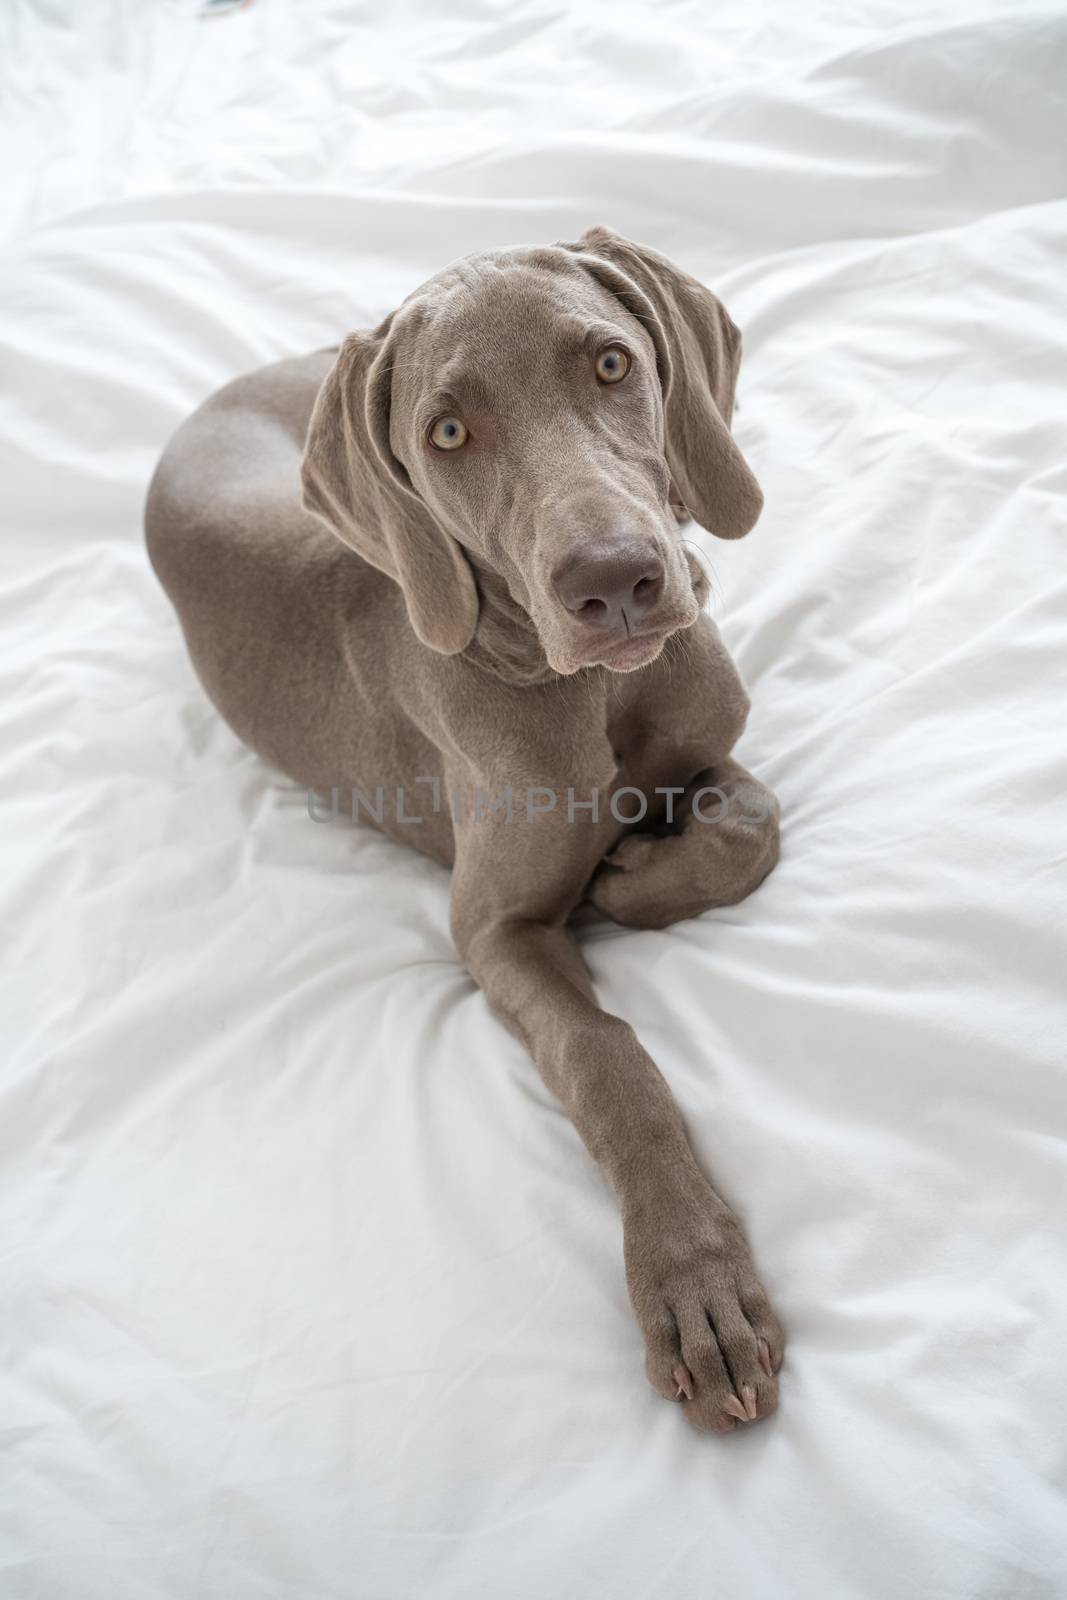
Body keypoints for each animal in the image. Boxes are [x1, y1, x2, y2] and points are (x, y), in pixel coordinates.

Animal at [143, 225, 783, 1440]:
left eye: (611, 364)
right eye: (446, 434)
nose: (616, 583)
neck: (590, 690)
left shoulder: (703, 742)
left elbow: (750, 824)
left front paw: (632, 871)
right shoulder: (492, 930)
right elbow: (605, 1054)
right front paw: (695, 1283)